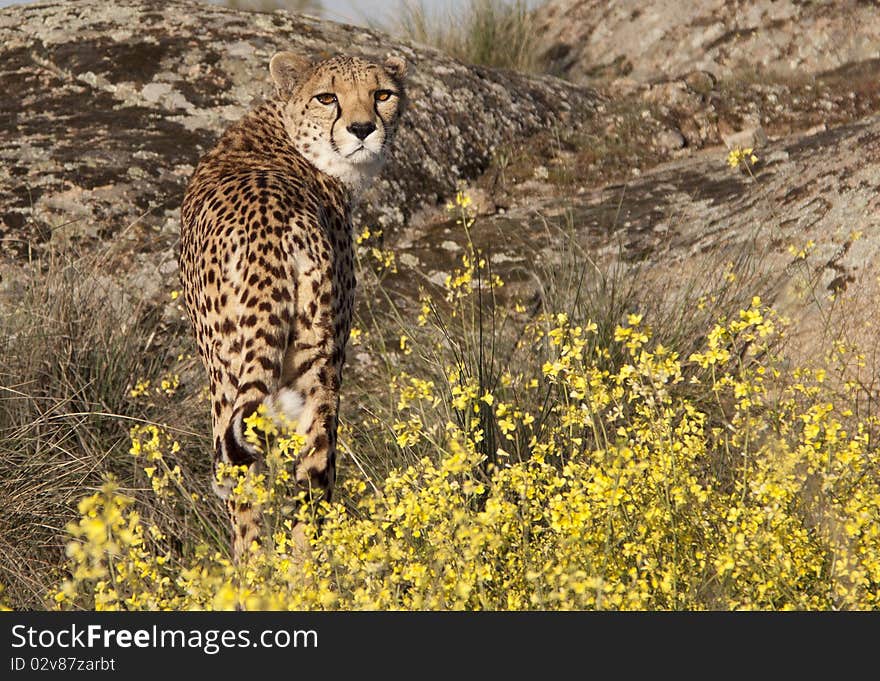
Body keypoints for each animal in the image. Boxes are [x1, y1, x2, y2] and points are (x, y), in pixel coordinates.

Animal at [180, 53, 412, 560]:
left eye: (382, 94)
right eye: (327, 97)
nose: (363, 129)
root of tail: (269, 229)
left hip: (237, 375)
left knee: (259, 486)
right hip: (312, 367)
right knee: (312, 471)